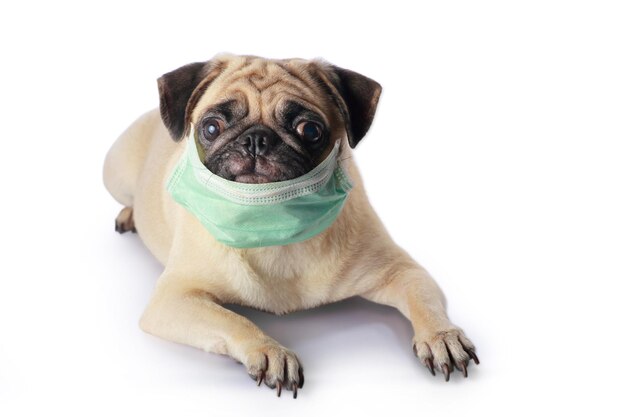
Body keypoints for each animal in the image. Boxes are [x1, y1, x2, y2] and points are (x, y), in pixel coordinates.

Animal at [102, 53, 478, 398]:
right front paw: (270, 351)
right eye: (211, 128)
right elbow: (234, 319)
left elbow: (423, 301)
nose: (256, 139)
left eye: (309, 130)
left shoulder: (403, 272)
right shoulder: (173, 298)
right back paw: (129, 215)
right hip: (114, 174)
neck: (272, 228)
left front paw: (441, 336)